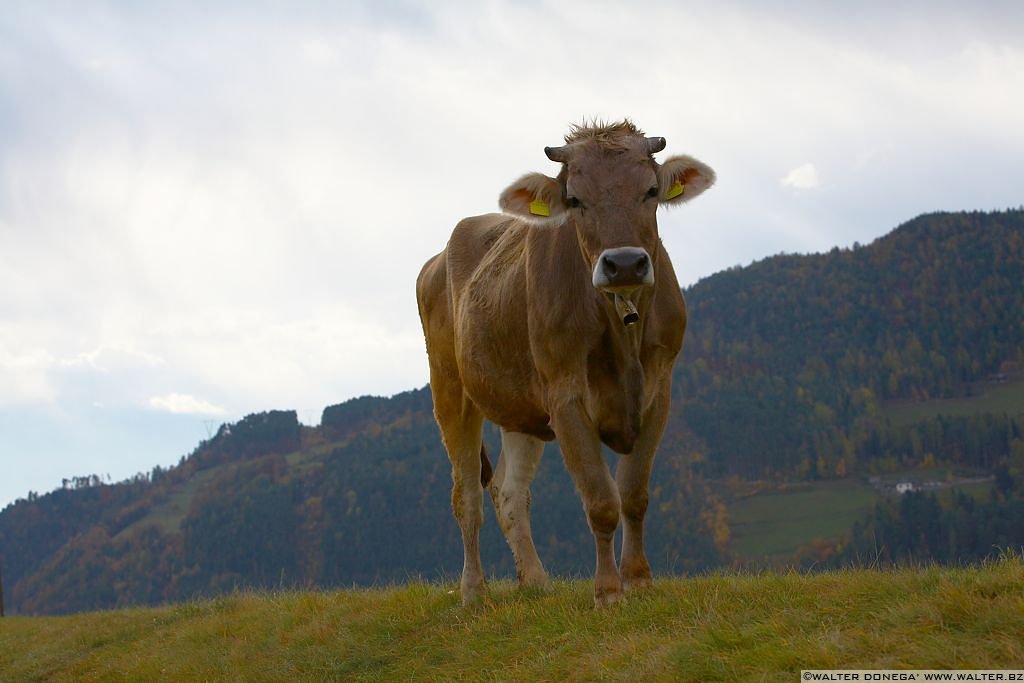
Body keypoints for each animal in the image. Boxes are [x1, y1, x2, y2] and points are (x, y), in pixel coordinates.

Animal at [413, 121, 712, 602]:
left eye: (650, 191)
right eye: (574, 200)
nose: (624, 263)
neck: (621, 328)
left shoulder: (659, 390)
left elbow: (633, 495)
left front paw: (639, 579)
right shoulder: (565, 395)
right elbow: (601, 500)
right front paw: (607, 590)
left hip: (518, 406)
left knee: (509, 492)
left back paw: (535, 582)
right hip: (449, 388)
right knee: (467, 496)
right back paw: (474, 593)